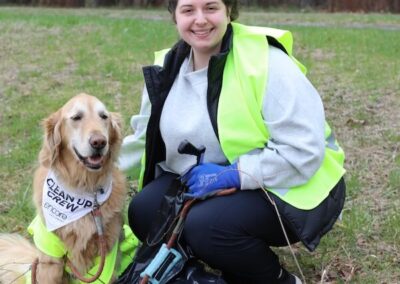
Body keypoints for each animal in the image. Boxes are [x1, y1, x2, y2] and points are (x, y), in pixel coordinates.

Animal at [0, 93, 128, 284]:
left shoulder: (106, 253)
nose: (99, 142)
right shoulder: (50, 258)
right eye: (76, 117)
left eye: (104, 117)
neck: (84, 187)